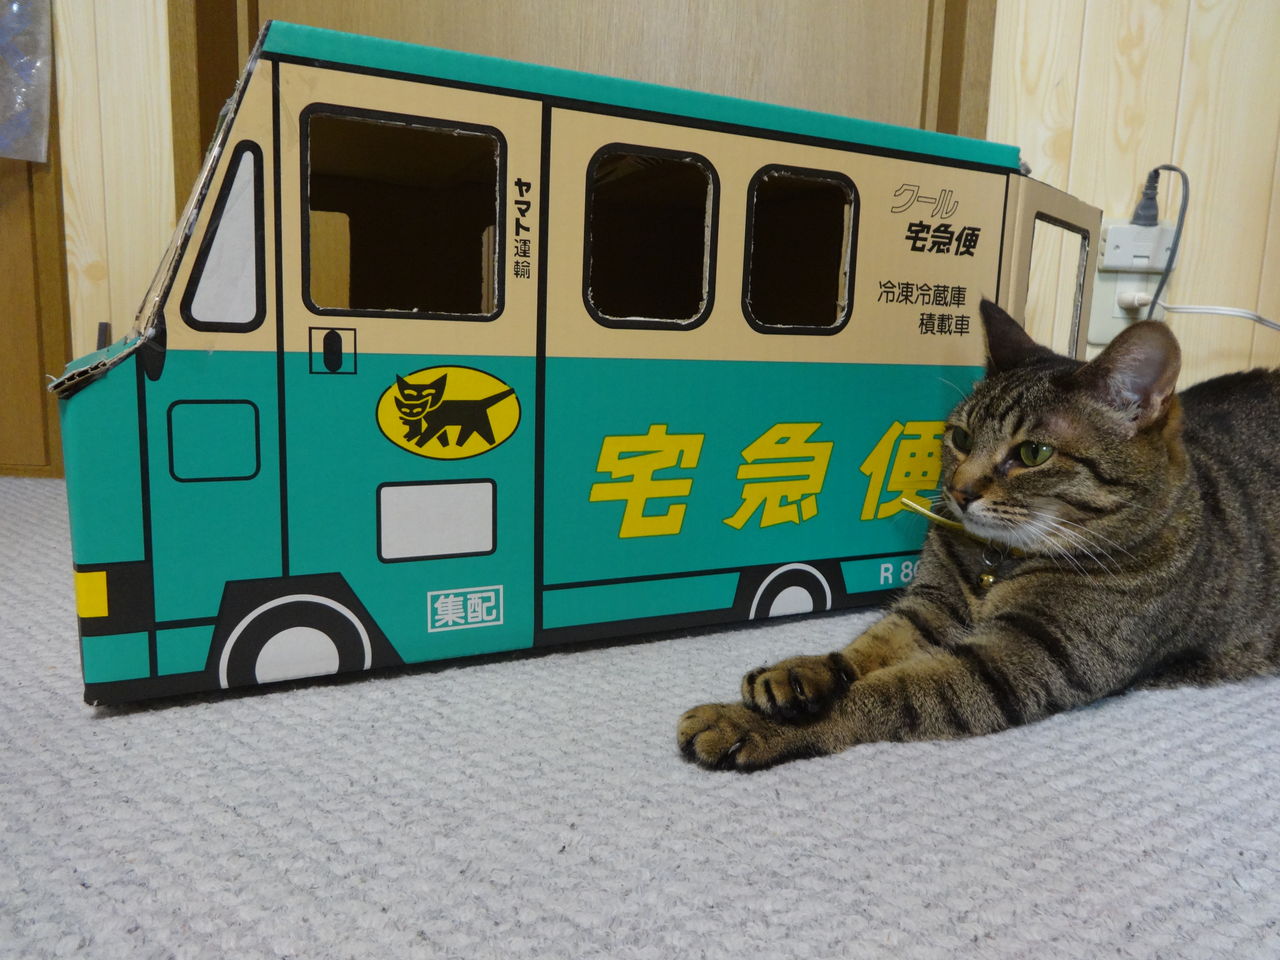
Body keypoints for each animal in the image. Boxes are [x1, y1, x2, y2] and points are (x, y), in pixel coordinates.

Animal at [679, 298, 1280, 771]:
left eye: (1033, 453)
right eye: (961, 438)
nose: (959, 490)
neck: (999, 560)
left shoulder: (1025, 657)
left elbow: (884, 692)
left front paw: (746, 724)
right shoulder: (931, 605)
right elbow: (867, 647)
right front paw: (799, 672)